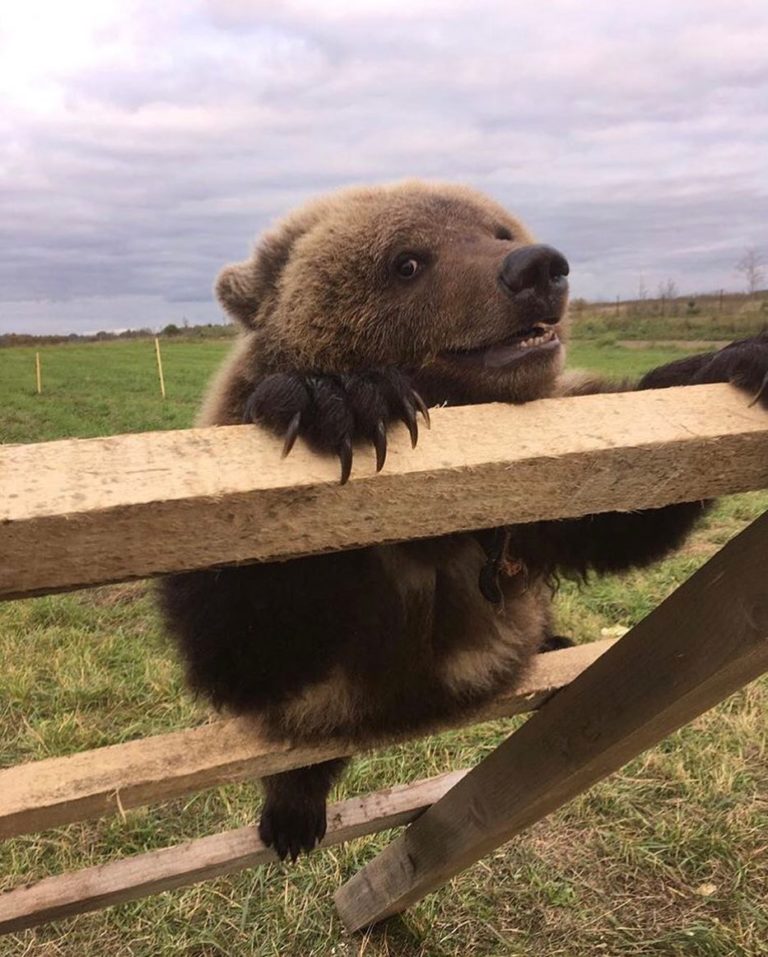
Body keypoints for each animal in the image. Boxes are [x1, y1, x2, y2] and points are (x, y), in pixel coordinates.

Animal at [158, 179, 768, 860]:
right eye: (407, 261)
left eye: (498, 230)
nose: (536, 267)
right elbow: (241, 638)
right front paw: (337, 396)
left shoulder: (524, 506)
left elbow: (621, 510)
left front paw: (739, 358)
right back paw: (294, 812)